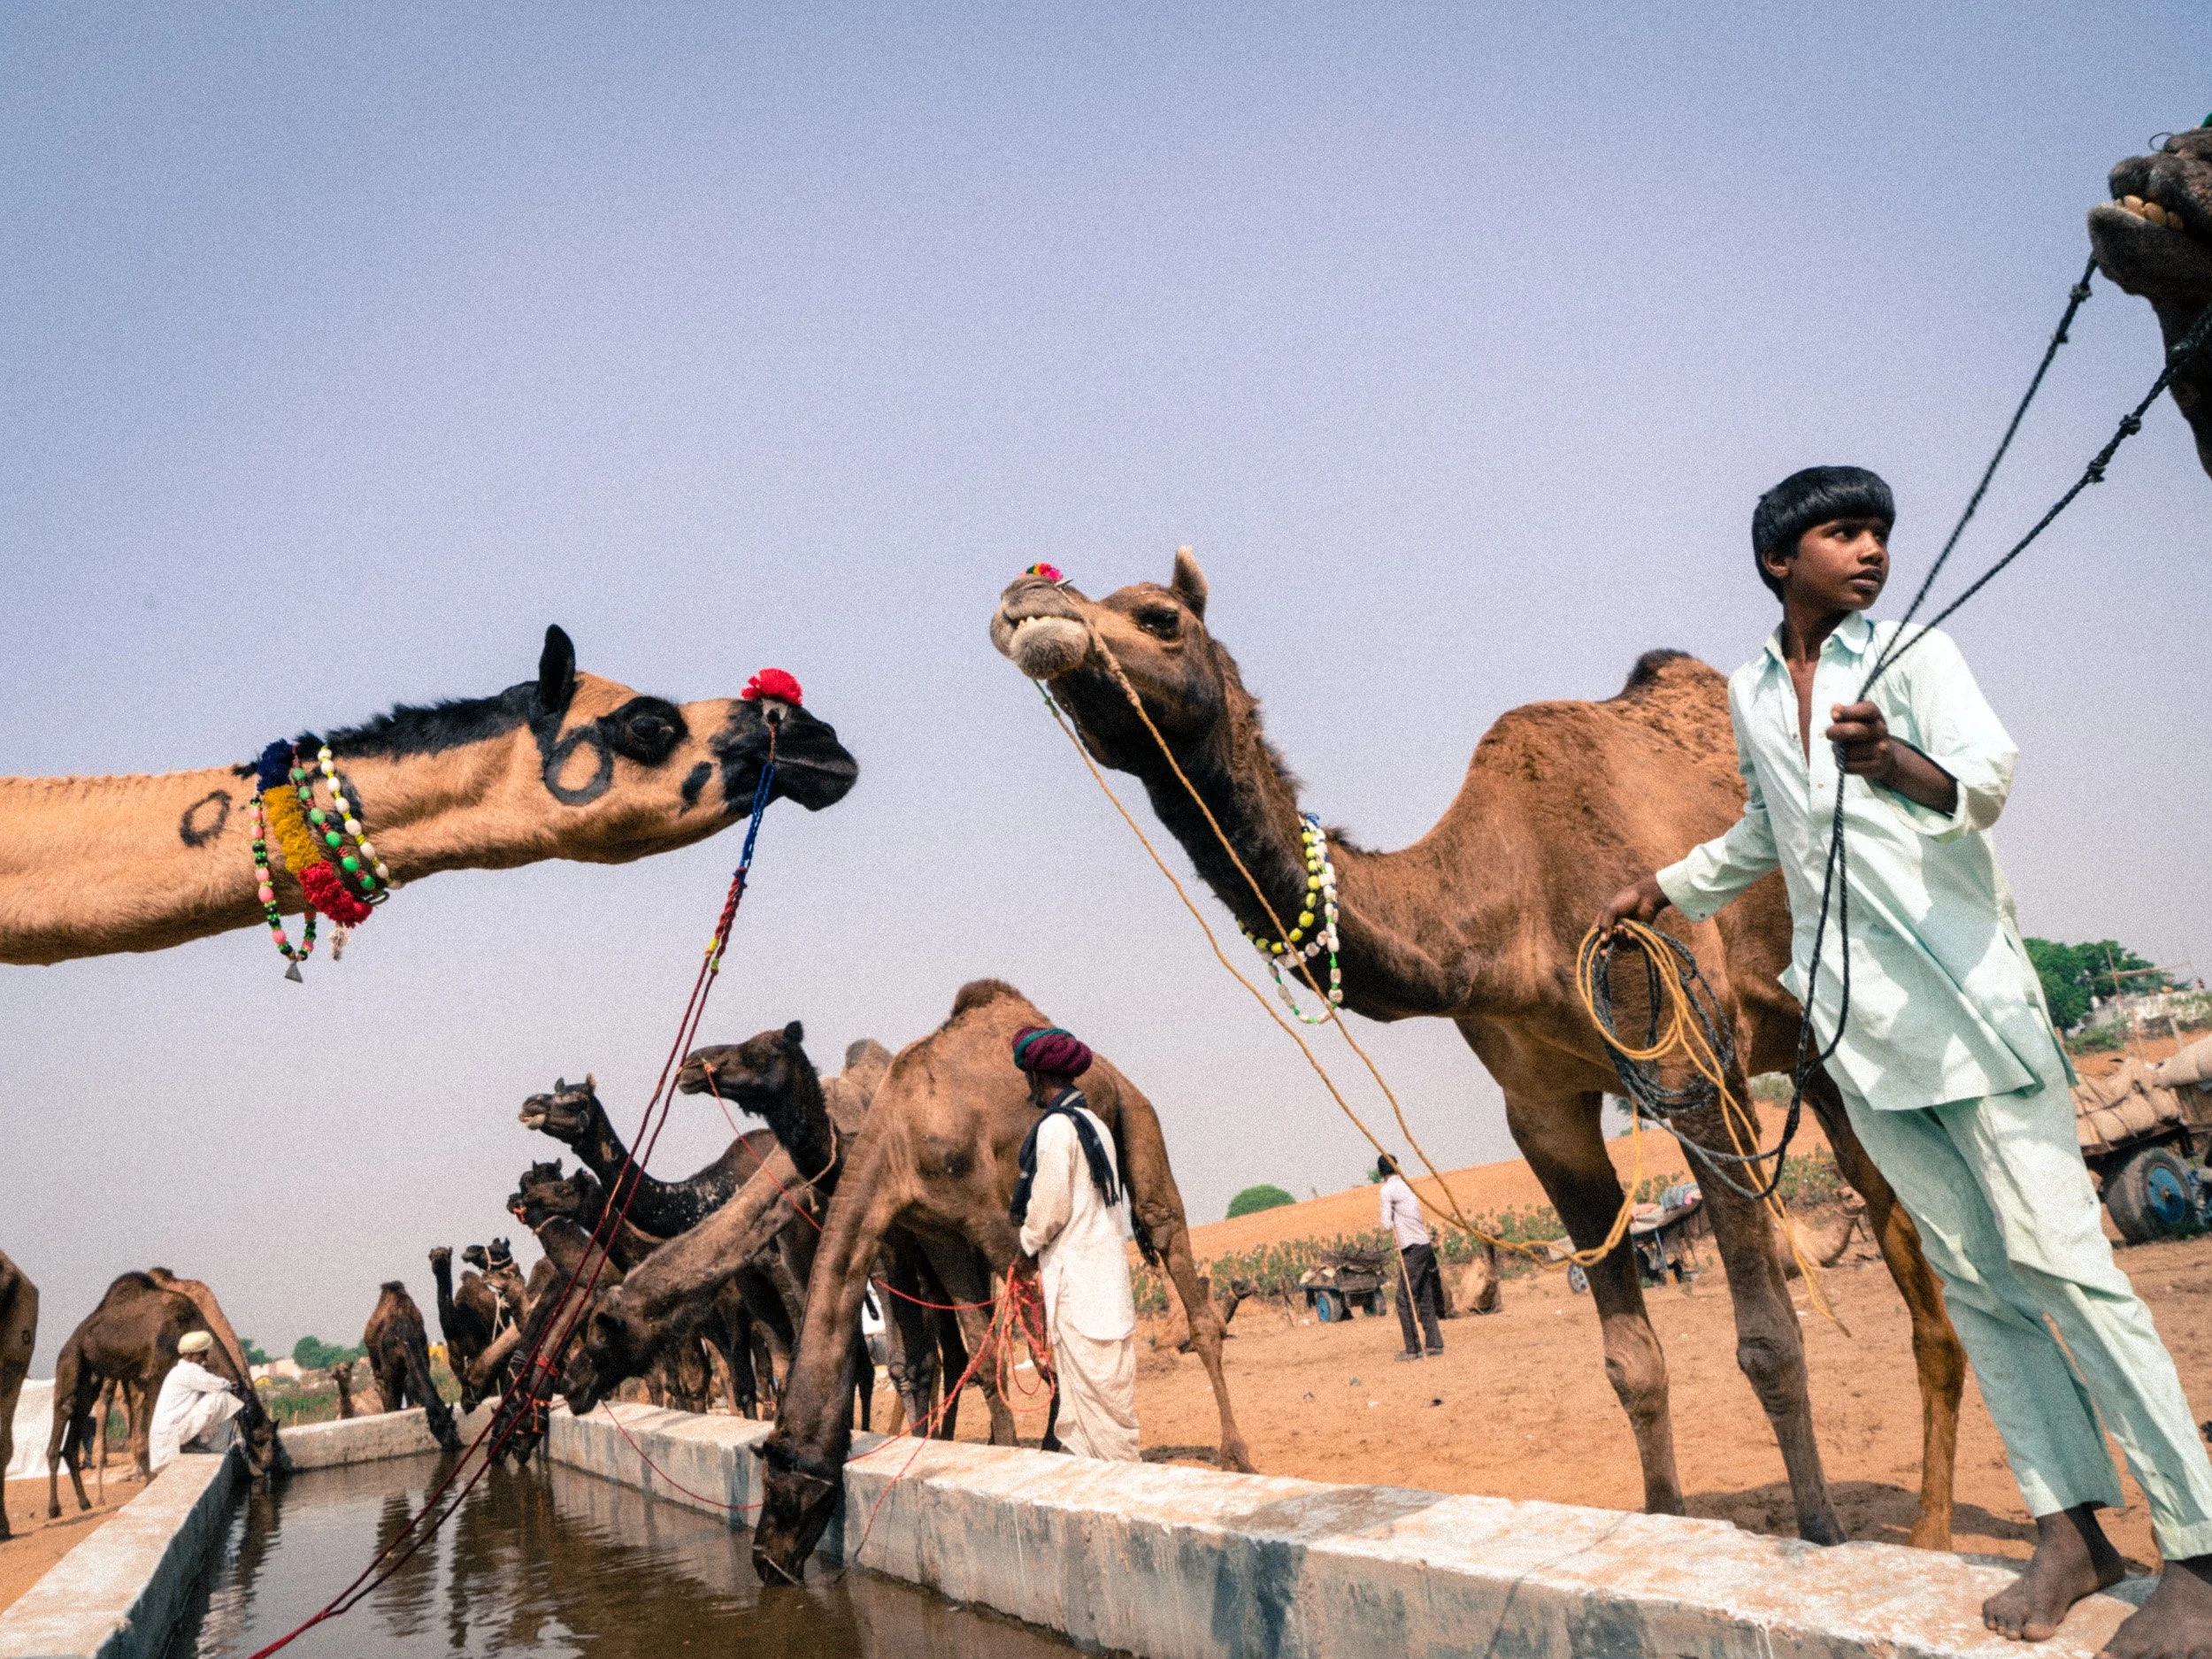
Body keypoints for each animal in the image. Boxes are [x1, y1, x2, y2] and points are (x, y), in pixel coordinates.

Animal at [48, 1272, 276, 1513]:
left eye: (274, 1440)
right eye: (260, 1439)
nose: (267, 1466)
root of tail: (69, 1342)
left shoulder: (143, 1378)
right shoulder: (153, 1375)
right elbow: (147, 1428)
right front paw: (151, 1478)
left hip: (92, 1378)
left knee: (78, 1420)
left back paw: (84, 1502)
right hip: (72, 1360)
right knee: (66, 1407)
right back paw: (56, 1507)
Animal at [362, 1282, 460, 1454]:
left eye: (453, 1423)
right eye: (437, 1428)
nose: (454, 1443)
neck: (404, 1336)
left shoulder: (424, 1356)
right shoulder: (389, 1370)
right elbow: (392, 1400)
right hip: (374, 1359)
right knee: (382, 1386)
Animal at [748, 980, 1252, 1581]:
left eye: (779, 1491)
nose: (763, 1560)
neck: (895, 1140)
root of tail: (1108, 1071)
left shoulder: (996, 1221)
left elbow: (1038, 1351)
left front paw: (1031, 1450)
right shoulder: (940, 1232)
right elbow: (985, 1356)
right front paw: (1012, 1448)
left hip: (1137, 1113)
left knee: (1167, 1235)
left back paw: (1235, 1455)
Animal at [991, 555, 1967, 1551]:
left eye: (1159, 615)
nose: (1030, 599)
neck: (1505, 901)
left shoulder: (1691, 1063)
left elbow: (1769, 1342)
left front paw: (1820, 1538)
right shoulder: (1543, 1112)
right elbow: (1630, 1361)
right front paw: (1664, 1521)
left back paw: (1936, 1536)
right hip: (1820, 1066)